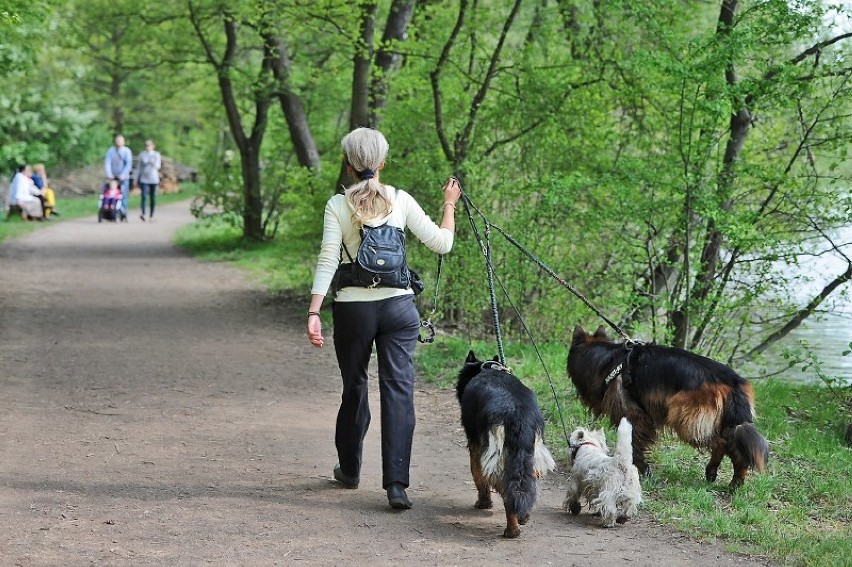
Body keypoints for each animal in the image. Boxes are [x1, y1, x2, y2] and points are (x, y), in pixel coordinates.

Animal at [456, 352, 556, 540]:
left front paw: (484, 502)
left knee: (507, 492)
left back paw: (512, 530)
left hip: (497, 457)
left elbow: (479, 478)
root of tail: (517, 415)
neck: (489, 369)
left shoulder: (475, 449)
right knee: (524, 486)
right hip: (531, 455)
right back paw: (523, 517)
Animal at [568, 326, 768, 490]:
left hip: (687, 421)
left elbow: (634, 444)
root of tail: (732, 381)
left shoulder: (634, 415)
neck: (608, 360)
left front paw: (642, 468)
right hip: (726, 423)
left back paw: (726, 477)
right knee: (732, 446)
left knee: (722, 444)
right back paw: (727, 479)